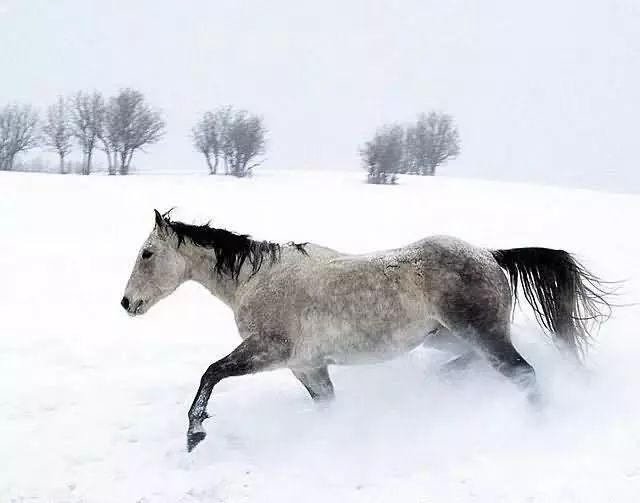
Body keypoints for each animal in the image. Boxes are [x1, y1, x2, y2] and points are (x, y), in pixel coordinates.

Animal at [121, 209, 608, 452]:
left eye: (147, 253)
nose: (127, 303)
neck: (258, 279)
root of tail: (490, 254)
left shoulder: (270, 350)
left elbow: (211, 372)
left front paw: (194, 434)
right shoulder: (306, 366)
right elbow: (327, 405)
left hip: (481, 333)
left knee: (524, 374)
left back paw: (538, 427)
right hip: (449, 336)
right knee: (481, 361)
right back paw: (444, 380)